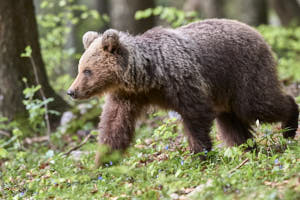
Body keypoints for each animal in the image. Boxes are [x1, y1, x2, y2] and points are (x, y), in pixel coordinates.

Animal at [67, 18, 298, 166]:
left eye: (87, 70)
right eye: (80, 68)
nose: (71, 91)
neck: (147, 77)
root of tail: (257, 32)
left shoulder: (183, 80)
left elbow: (196, 116)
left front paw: (199, 155)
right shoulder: (126, 96)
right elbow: (114, 125)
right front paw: (102, 163)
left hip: (243, 74)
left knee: (257, 104)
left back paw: (289, 125)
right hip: (224, 91)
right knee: (231, 121)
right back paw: (247, 147)